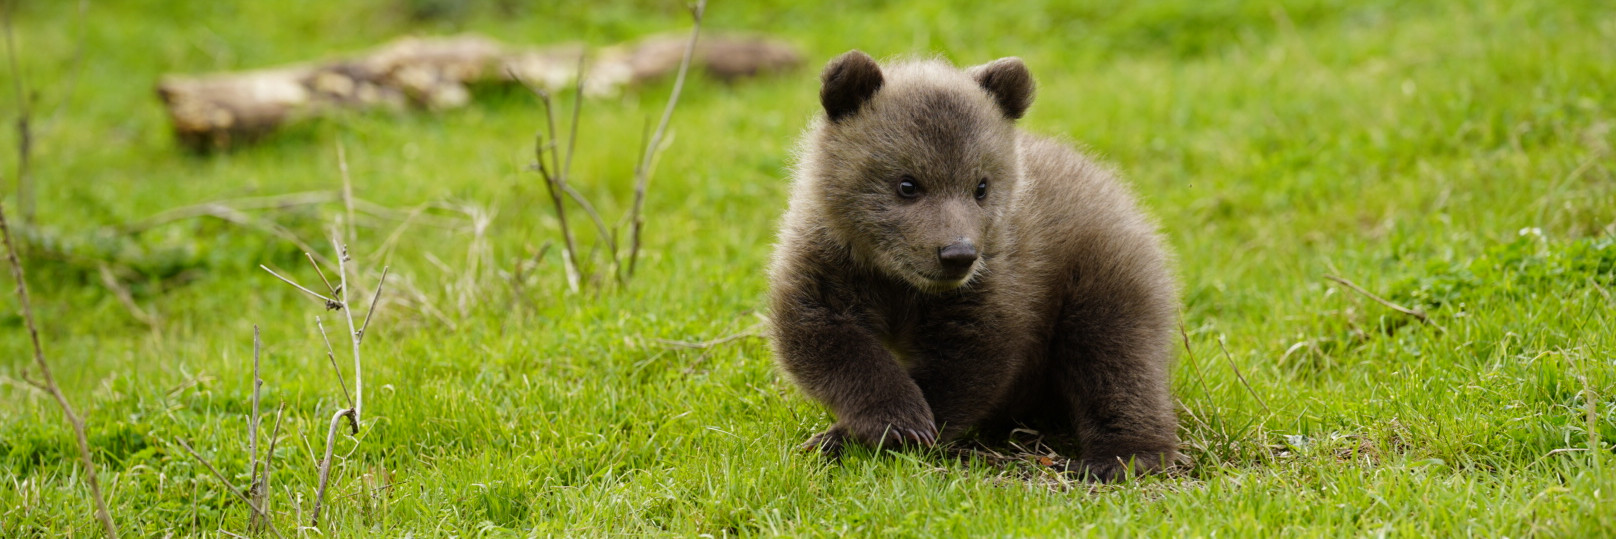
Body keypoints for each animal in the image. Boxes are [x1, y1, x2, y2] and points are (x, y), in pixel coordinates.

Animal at [768, 50, 1181, 481]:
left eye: (980, 185)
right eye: (907, 184)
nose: (957, 254)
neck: (899, 280)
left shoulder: (998, 278)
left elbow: (969, 362)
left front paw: (874, 432)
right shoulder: (832, 263)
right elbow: (822, 335)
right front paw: (890, 422)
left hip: (1100, 270)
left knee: (1114, 357)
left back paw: (1122, 457)